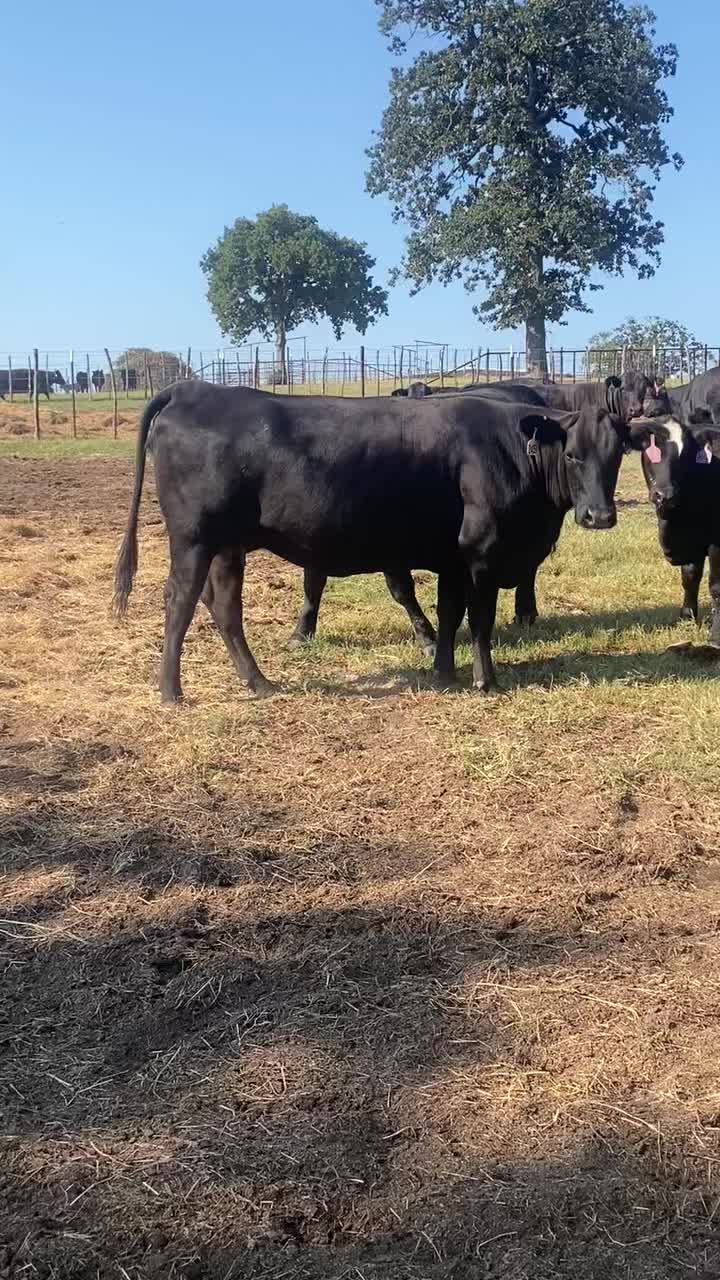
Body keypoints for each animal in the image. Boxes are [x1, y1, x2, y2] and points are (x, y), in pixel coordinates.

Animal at [113, 382, 647, 703]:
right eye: (573, 455)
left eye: (617, 454)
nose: (599, 516)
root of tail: (196, 389)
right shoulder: (479, 556)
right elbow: (479, 620)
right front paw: (485, 679)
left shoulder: (452, 559)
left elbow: (449, 615)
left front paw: (443, 671)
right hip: (193, 538)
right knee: (179, 601)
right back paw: (171, 691)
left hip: (228, 546)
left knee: (224, 606)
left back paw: (258, 682)